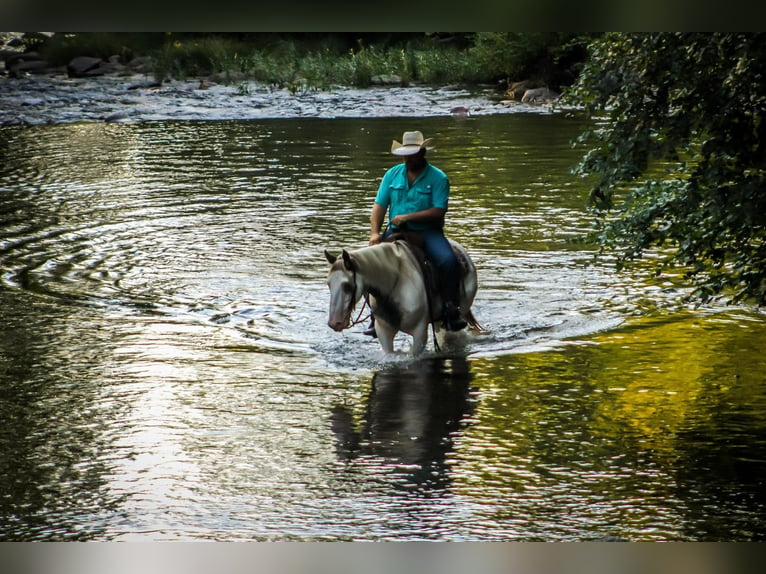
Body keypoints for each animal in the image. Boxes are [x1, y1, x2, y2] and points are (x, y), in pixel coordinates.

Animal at [324, 237, 480, 356]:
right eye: (329, 284)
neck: (395, 284)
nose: (334, 323)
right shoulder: (384, 332)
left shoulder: (419, 333)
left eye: (347, 286)